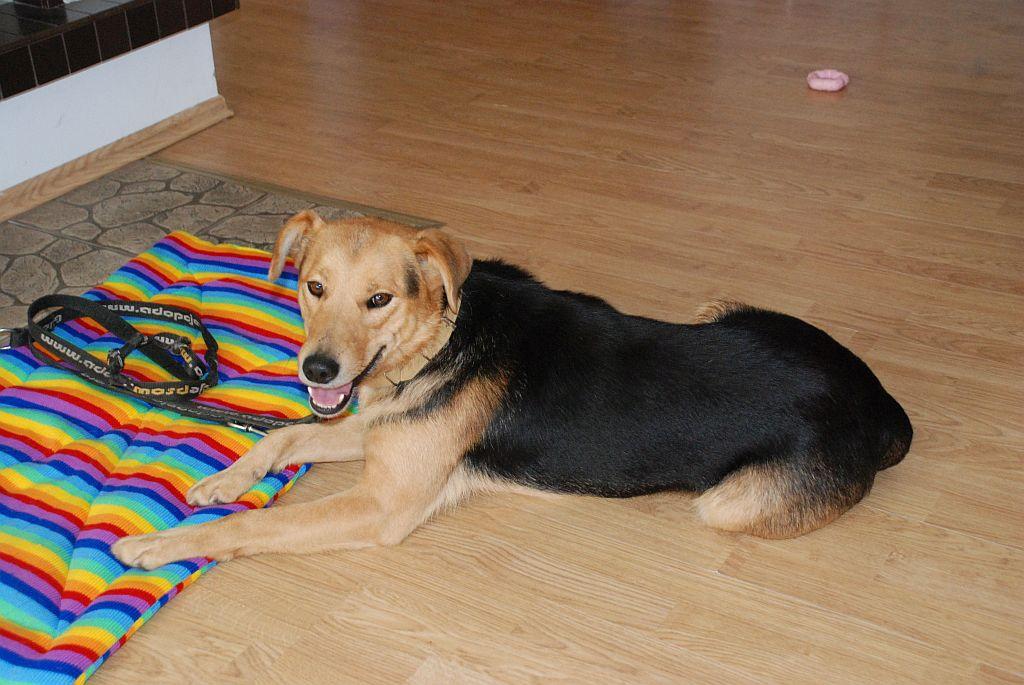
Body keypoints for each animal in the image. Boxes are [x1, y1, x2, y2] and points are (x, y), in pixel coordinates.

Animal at [113, 211, 912, 569]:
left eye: (378, 300)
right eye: (313, 287)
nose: (317, 371)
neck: (443, 337)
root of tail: (879, 406)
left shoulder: (383, 503)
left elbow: (248, 527)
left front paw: (163, 544)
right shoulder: (378, 425)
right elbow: (282, 435)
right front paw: (224, 480)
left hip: (728, 503)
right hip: (722, 308)